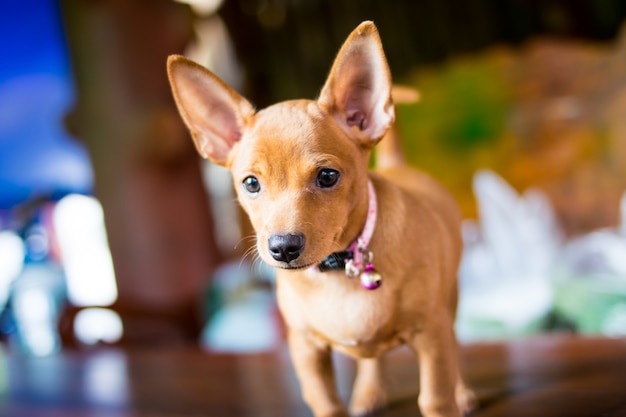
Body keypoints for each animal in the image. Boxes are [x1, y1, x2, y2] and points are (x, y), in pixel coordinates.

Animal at [166, 21, 472, 416]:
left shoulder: (431, 335)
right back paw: (368, 393)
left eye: (327, 176)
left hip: (450, 303)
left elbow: (436, 396)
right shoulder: (306, 349)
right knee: (371, 358)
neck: (339, 270)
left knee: (454, 345)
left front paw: (450, 397)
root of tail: (397, 166)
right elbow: (327, 402)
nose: (283, 248)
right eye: (251, 183)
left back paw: (462, 392)